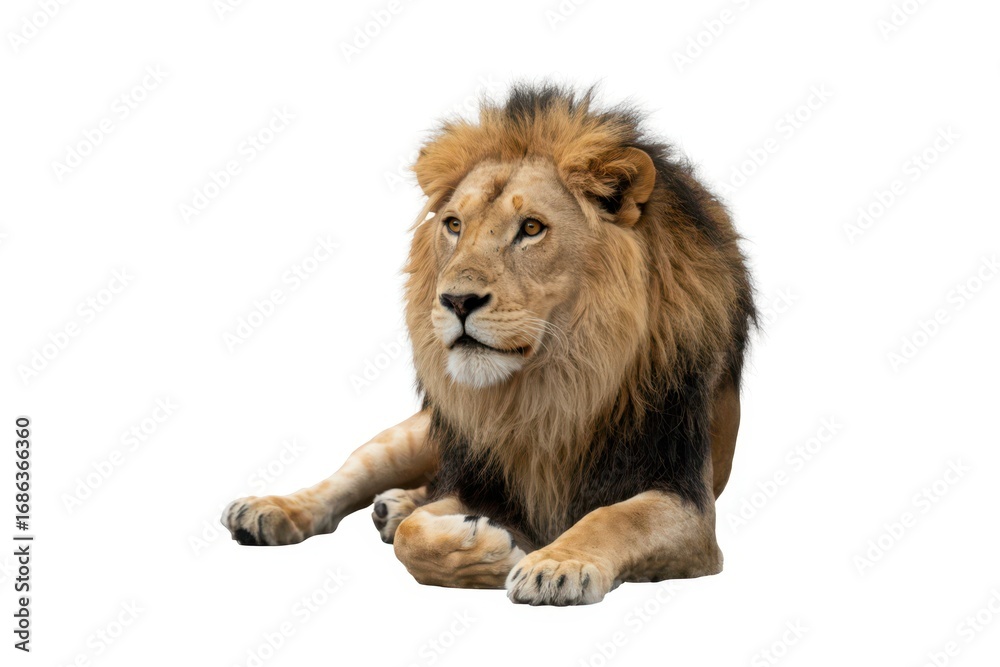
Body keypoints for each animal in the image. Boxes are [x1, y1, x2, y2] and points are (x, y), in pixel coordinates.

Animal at [221, 84, 756, 605]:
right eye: (454, 225)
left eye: (532, 228)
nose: (457, 300)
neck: (555, 387)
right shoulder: (483, 480)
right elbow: (411, 536)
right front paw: (494, 551)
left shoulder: (686, 500)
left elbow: (616, 517)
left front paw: (552, 565)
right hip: (417, 434)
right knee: (351, 473)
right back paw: (270, 510)